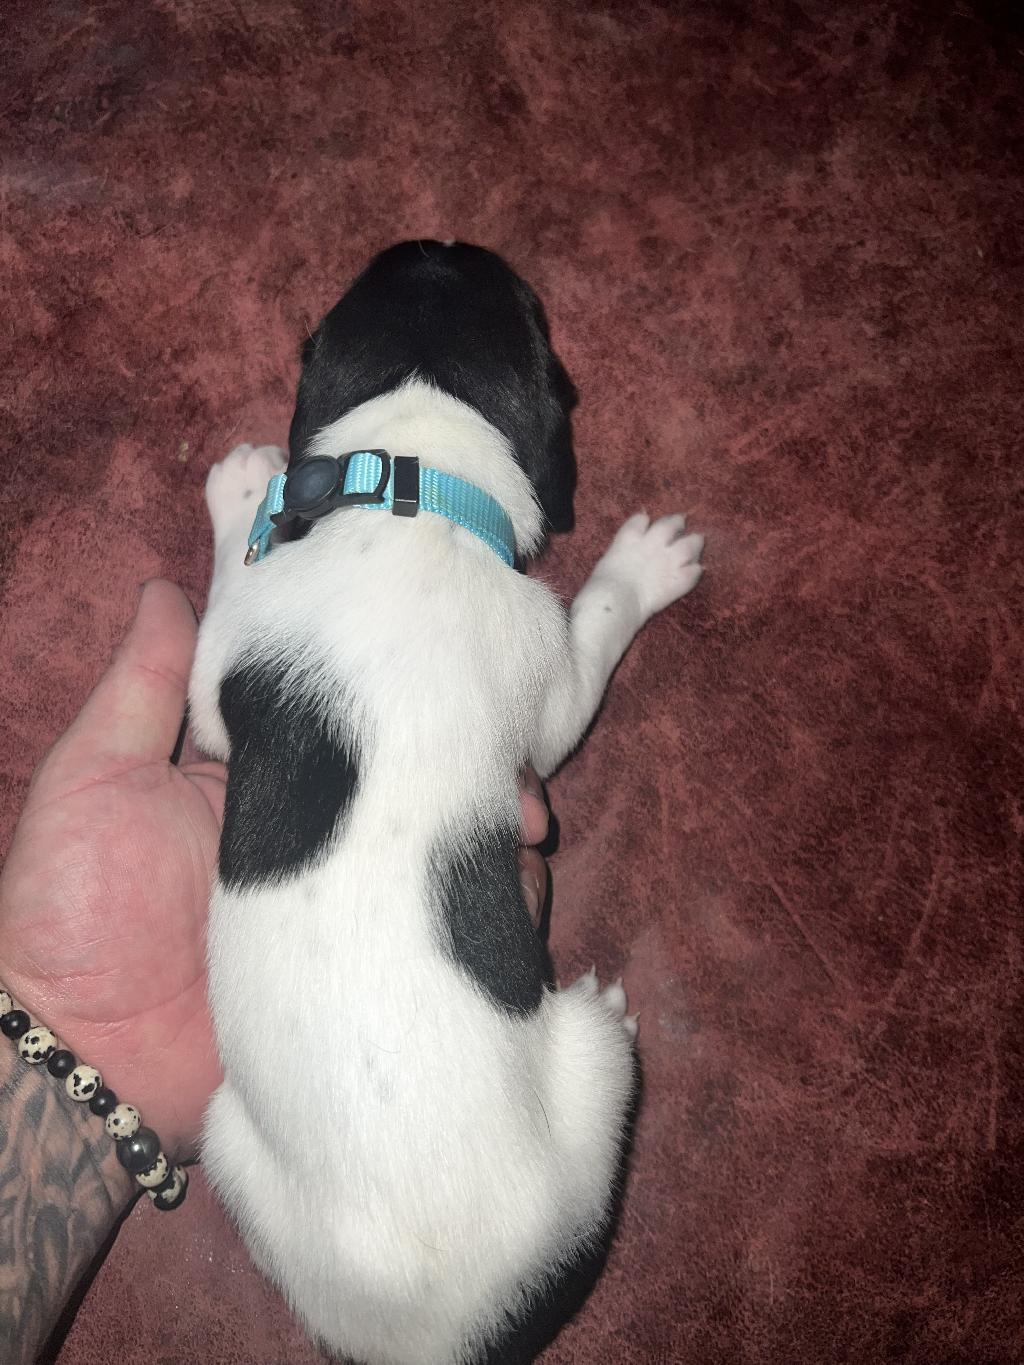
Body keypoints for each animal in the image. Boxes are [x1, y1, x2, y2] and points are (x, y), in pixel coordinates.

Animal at [188, 240, 704, 1364]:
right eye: (529, 307)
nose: (438, 241)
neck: (410, 479)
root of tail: (443, 1338)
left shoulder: (219, 683)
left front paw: (244, 495)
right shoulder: (549, 676)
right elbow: (596, 617)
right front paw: (640, 565)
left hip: (228, 1142)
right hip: (591, 1070)